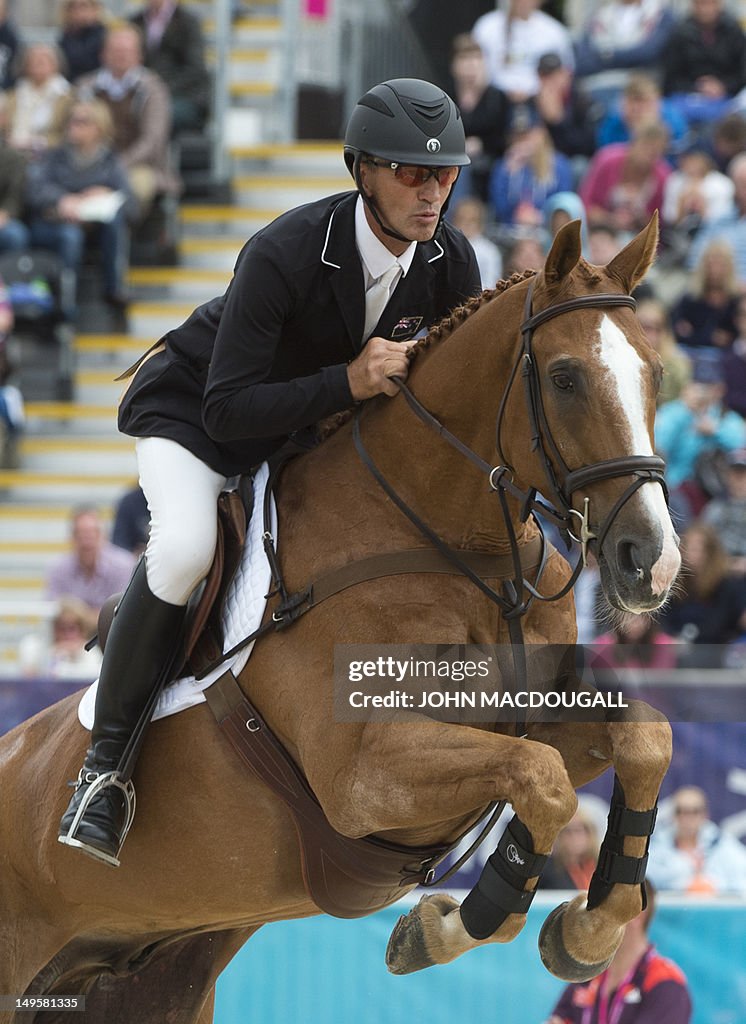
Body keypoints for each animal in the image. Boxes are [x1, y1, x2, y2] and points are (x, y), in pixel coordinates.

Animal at [0, 218, 679, 1024]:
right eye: (567, 378)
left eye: (656, 376)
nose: (652, 561)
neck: (460, 547)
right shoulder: (364, 774)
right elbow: (541, 778)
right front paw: (448, 925)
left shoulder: (528, 717)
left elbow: (643, 739)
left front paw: (585, 929)